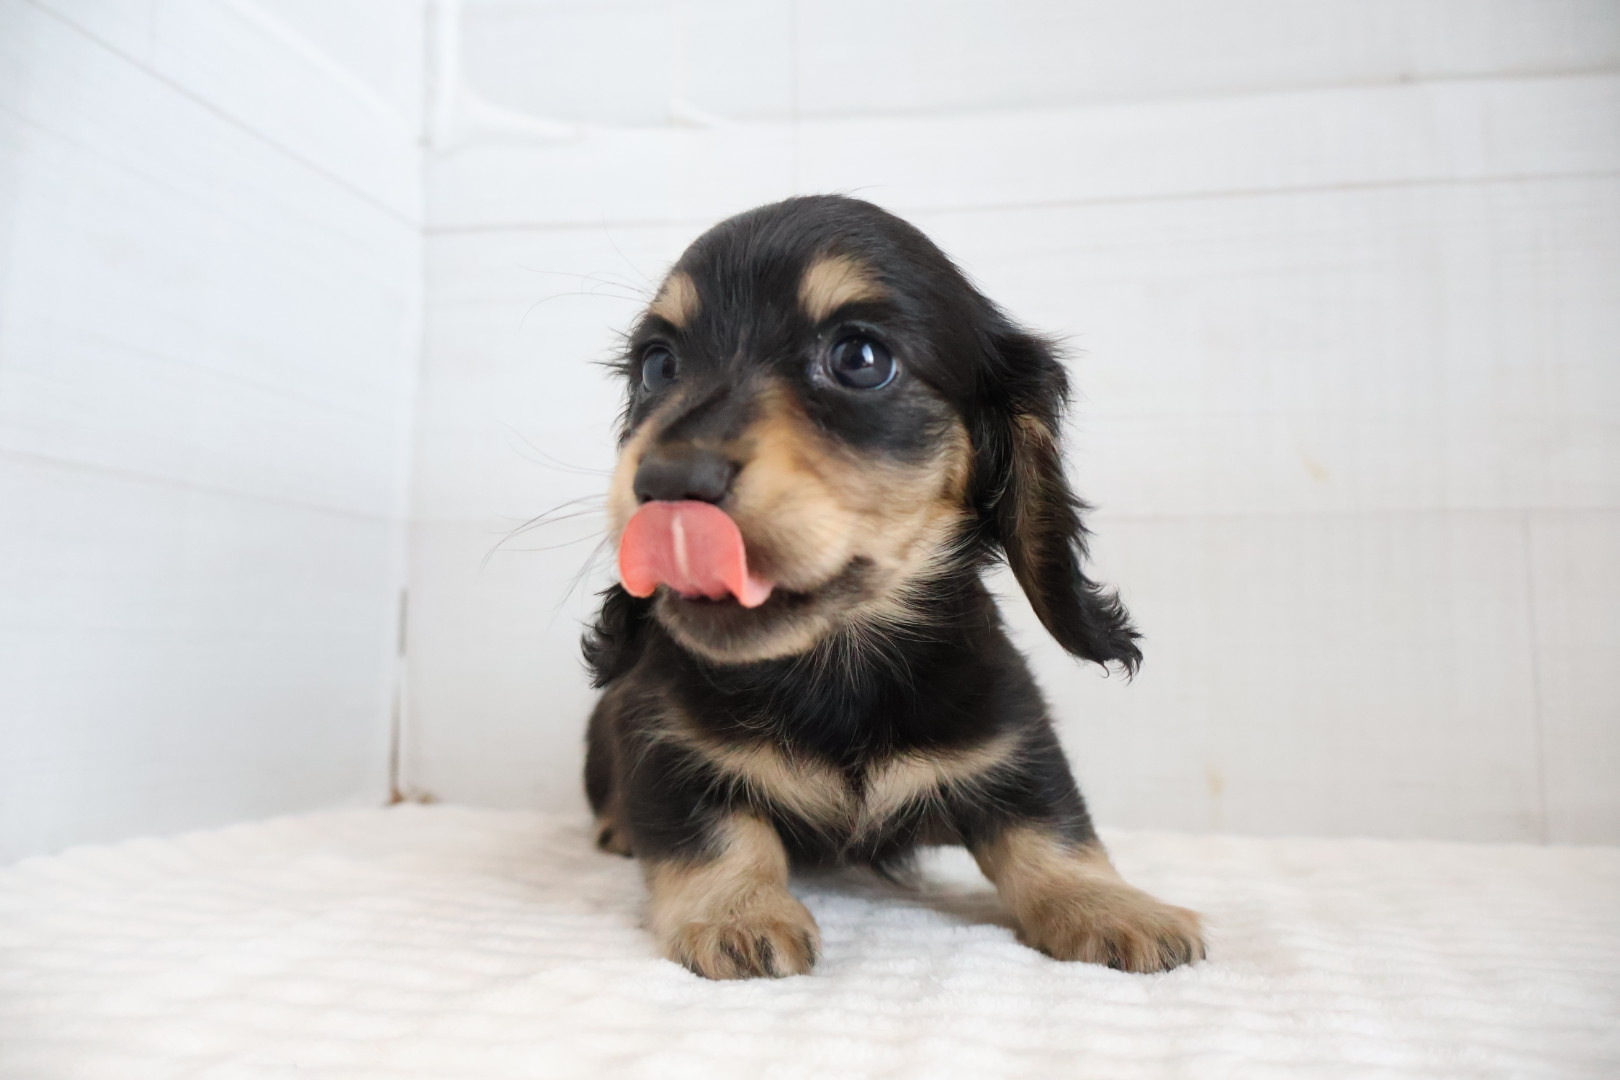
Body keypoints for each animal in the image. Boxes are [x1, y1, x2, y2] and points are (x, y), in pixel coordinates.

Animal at [582, 195, 1204, 979]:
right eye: (658, 366)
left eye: (859, 358)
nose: (664, 484)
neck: (838, 666)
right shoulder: (663, 739)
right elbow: (712, 835)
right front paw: (736, 912)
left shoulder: (1015, 738)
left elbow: (1055, 828)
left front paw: (1111, 905)